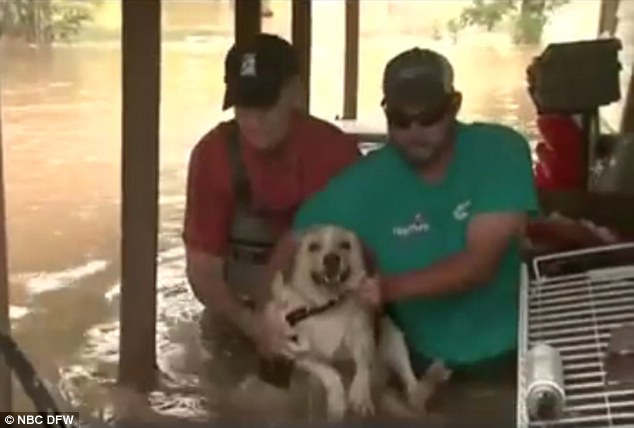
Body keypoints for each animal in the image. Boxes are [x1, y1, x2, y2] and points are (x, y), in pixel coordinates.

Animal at [266, 226, 450, 420]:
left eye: (345, 245)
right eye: (313, 246)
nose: (331, 259)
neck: (327, 306)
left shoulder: (363, 338)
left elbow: (362, 366)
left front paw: (360, 396)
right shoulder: (296, 356)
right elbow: (329, 372)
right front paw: (337, 402)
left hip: (394, 342)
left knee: (411, 381)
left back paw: (416, 395)